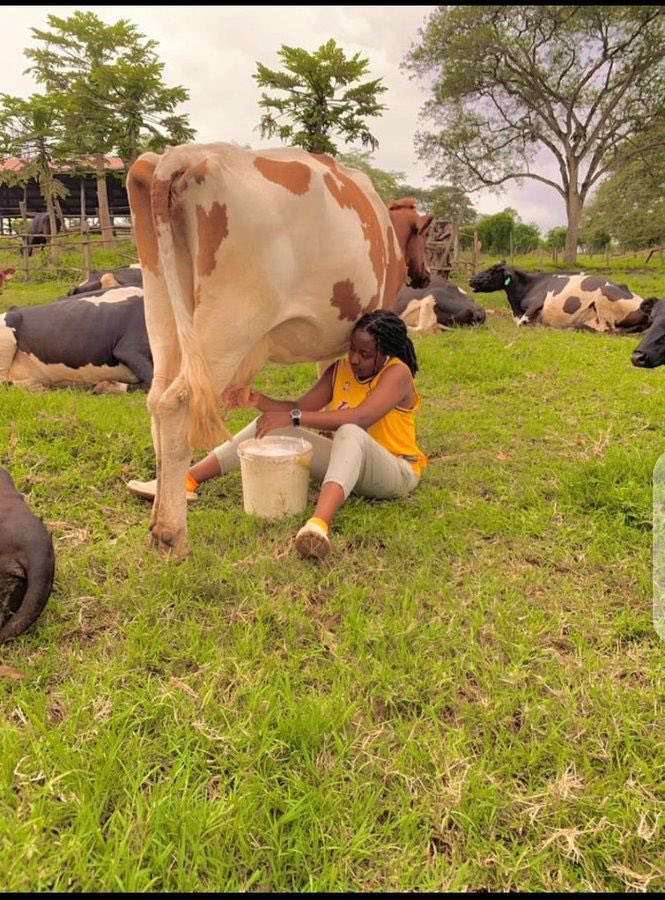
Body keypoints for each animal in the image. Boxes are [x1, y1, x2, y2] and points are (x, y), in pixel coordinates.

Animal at [127, 142, 434, 556]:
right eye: (426, 237)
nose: (426, 275)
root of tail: (184, 154)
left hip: (162, 311)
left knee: (157, 402)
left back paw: (156, 509)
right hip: (230, 324)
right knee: (178, 406)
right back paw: (171, 533)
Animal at [466, 258, 648, 332]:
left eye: (492, 271)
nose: (470, 279)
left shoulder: (536, 304)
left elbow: (521, 323)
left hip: (603, 301)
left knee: (606, 329)